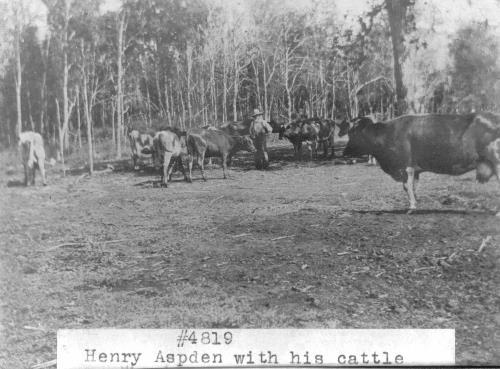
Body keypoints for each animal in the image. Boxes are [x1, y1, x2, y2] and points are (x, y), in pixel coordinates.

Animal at [344, 112, 500, 213]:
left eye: (353, 134)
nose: (344, 152)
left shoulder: (405, 166)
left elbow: (407, 186)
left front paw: (411, 207)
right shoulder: (414, 169)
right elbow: (413, 186)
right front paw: (416, 203)